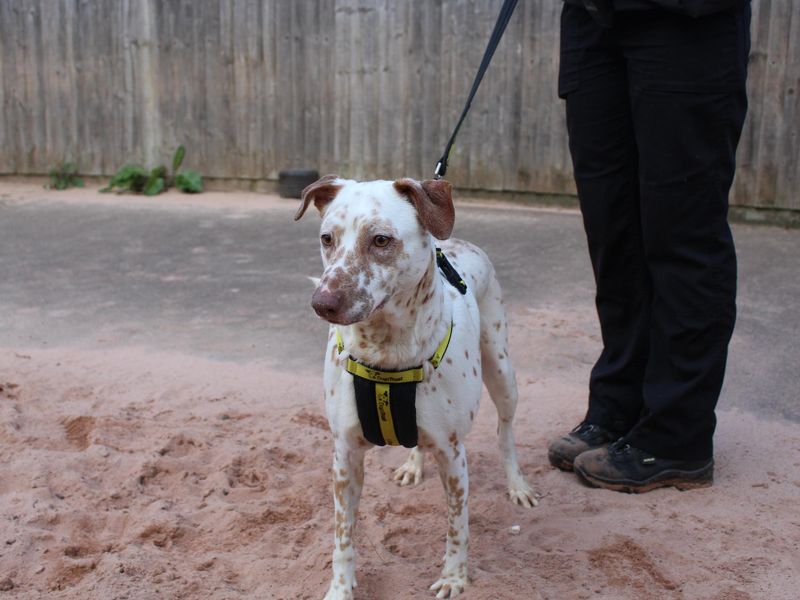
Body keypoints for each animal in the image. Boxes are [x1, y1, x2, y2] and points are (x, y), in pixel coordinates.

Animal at [294, 176, 536, 596]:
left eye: (381, 240)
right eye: (327, 238)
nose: (321, 303)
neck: (386, 354)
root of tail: (459, 243)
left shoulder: (453, 456)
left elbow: (457, 526)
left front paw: (453, 577)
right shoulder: (345, 457)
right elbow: (343, 535)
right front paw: (340, 588)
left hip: (502, 371)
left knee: (505, 431)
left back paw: (516, 483)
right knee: (416, 442)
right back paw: (412, 464)